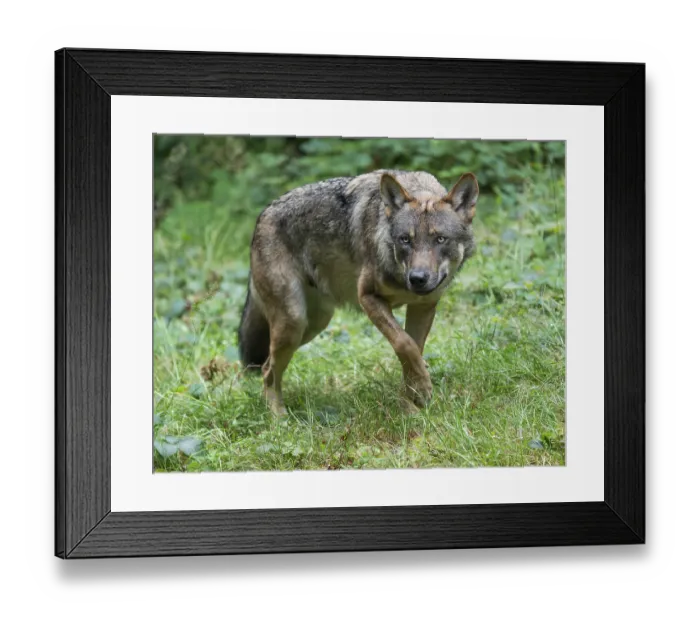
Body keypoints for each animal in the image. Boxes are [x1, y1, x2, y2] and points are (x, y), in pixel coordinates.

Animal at [238, 170, 478, 415]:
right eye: (405, 240)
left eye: (440, 239)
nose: (418, 278)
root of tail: (262, 215)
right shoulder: (368, 298)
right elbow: (405, 344)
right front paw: (422, 390)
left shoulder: (423, 306)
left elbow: (414, 353)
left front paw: (412, 406)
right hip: (293, 322)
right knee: (267, 370)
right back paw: (279, 417)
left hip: (313, 325)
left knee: (268, 365)